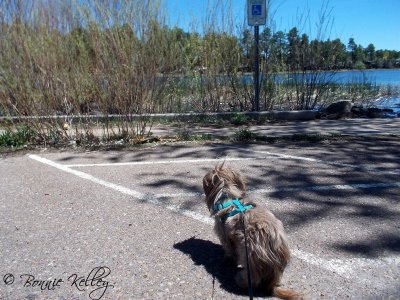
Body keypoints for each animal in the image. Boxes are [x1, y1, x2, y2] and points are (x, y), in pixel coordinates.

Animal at [203, 164, 300, 300]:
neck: (227, 198)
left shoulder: (225, 236)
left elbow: (229, 250)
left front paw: (228, 258)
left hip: (248, 254)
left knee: (253, 280)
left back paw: (240, 280)